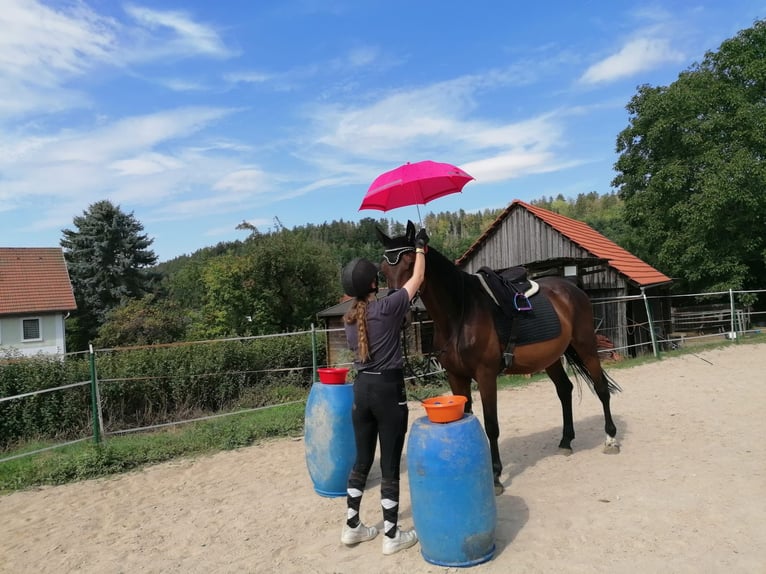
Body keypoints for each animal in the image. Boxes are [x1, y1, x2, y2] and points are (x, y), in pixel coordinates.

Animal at [378, 220, 624, 496]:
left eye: (411, 263)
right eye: (383, 269)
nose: (398, 313)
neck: (460, 314)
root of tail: (572, 288)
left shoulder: (485, 376)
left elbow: (491, 425)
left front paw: (495, 476)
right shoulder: (456, 377)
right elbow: (467, 416)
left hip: (586, 347)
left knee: (601, 389)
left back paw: (611, 439)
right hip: (551, 358)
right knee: (565, 390)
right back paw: (565, 441)